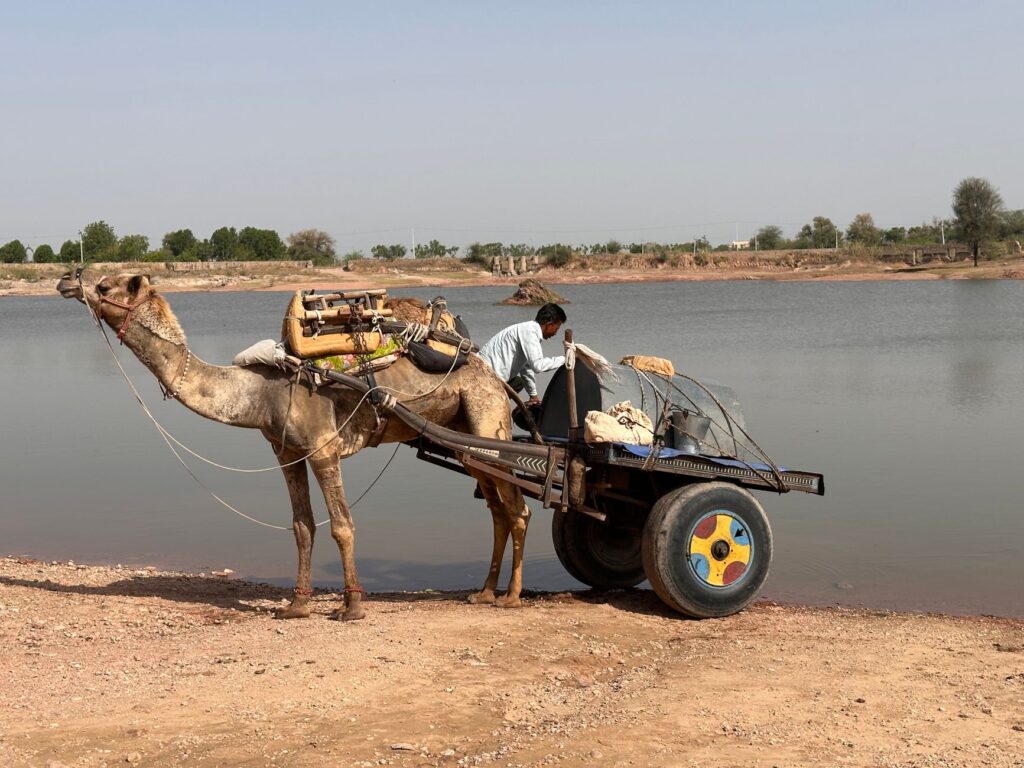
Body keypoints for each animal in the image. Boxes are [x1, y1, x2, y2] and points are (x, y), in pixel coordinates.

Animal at [57, 270, 531, 621]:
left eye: (105, 286)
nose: (66, 280)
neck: (260, 389)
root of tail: (492, 374)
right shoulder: (287, 453)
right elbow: (302, 527)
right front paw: (297, 604)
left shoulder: (323, 449)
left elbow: (341, 524)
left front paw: (352, 606)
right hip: (467, 436)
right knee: (496, 507)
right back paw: (485, 593)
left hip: (488, 420)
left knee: (517, 507)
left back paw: (511, 596)